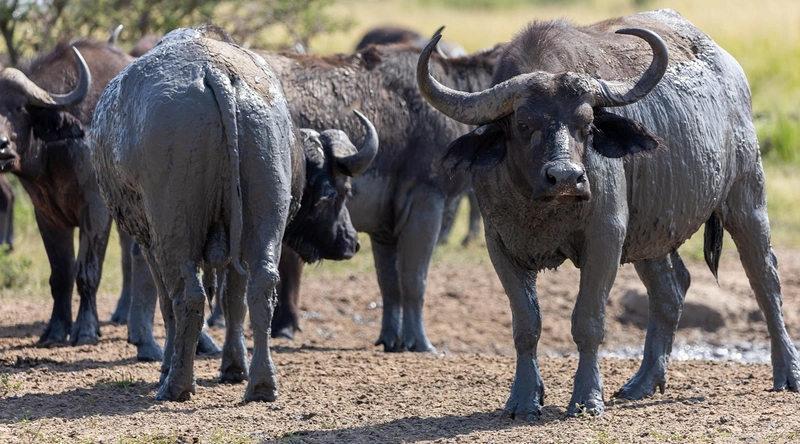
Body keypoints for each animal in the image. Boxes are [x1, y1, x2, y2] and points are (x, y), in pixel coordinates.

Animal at [91, 25, 378, 402]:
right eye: (336, 195)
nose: (351, 242)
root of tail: (215, 71)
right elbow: (233, 301)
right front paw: (233, 367)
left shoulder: (149, 242)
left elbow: (168, 304)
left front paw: (168, 366)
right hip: (263, 214)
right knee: (262, 287)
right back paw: (260, 383)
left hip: (174, 230)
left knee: (188, 296)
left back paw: (176, 384)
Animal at [253, 39, 504, 350]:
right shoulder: (426, 206)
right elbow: (414, 280)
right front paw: (420, 343)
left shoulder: (384, 228)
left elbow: (389, 283)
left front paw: (391, 339)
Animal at [416, 9, 800, 418]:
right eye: (523, 124)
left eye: (587, 125)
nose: (565, 177)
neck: (542, 208)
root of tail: (732, 72)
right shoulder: (500, 244)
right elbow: (526, 324)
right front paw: (523, 399)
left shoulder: (605, 237)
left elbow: (588, 321)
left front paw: (586, 398)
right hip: (649, 232)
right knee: (671, 290)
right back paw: (642, 382)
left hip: (746, 198)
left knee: (765, 279)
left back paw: (787, 373)